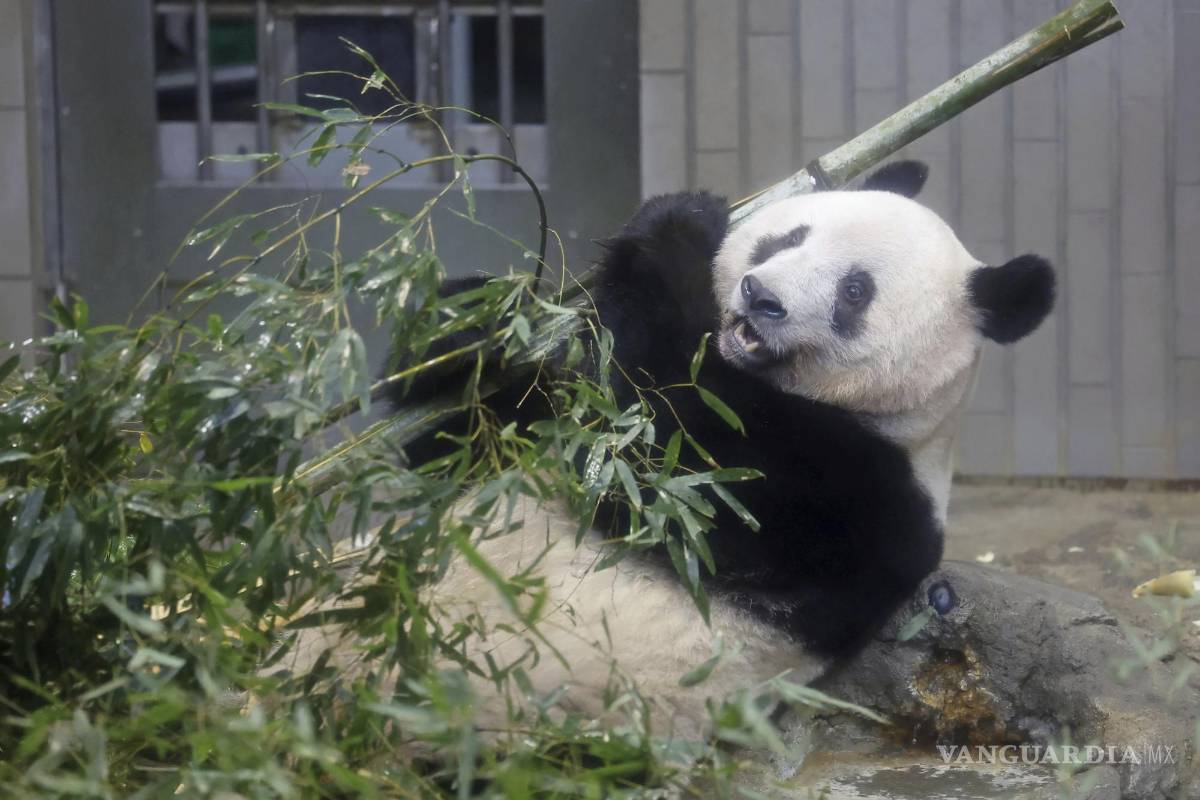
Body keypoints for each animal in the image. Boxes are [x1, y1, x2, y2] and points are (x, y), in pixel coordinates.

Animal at [388, 161, 1056, 737]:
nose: (761, 295)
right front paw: (472, 327)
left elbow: (660, 456)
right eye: (789, 237)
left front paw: (679, 225)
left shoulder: (848, 497)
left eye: (855, 291)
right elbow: (474, 436)